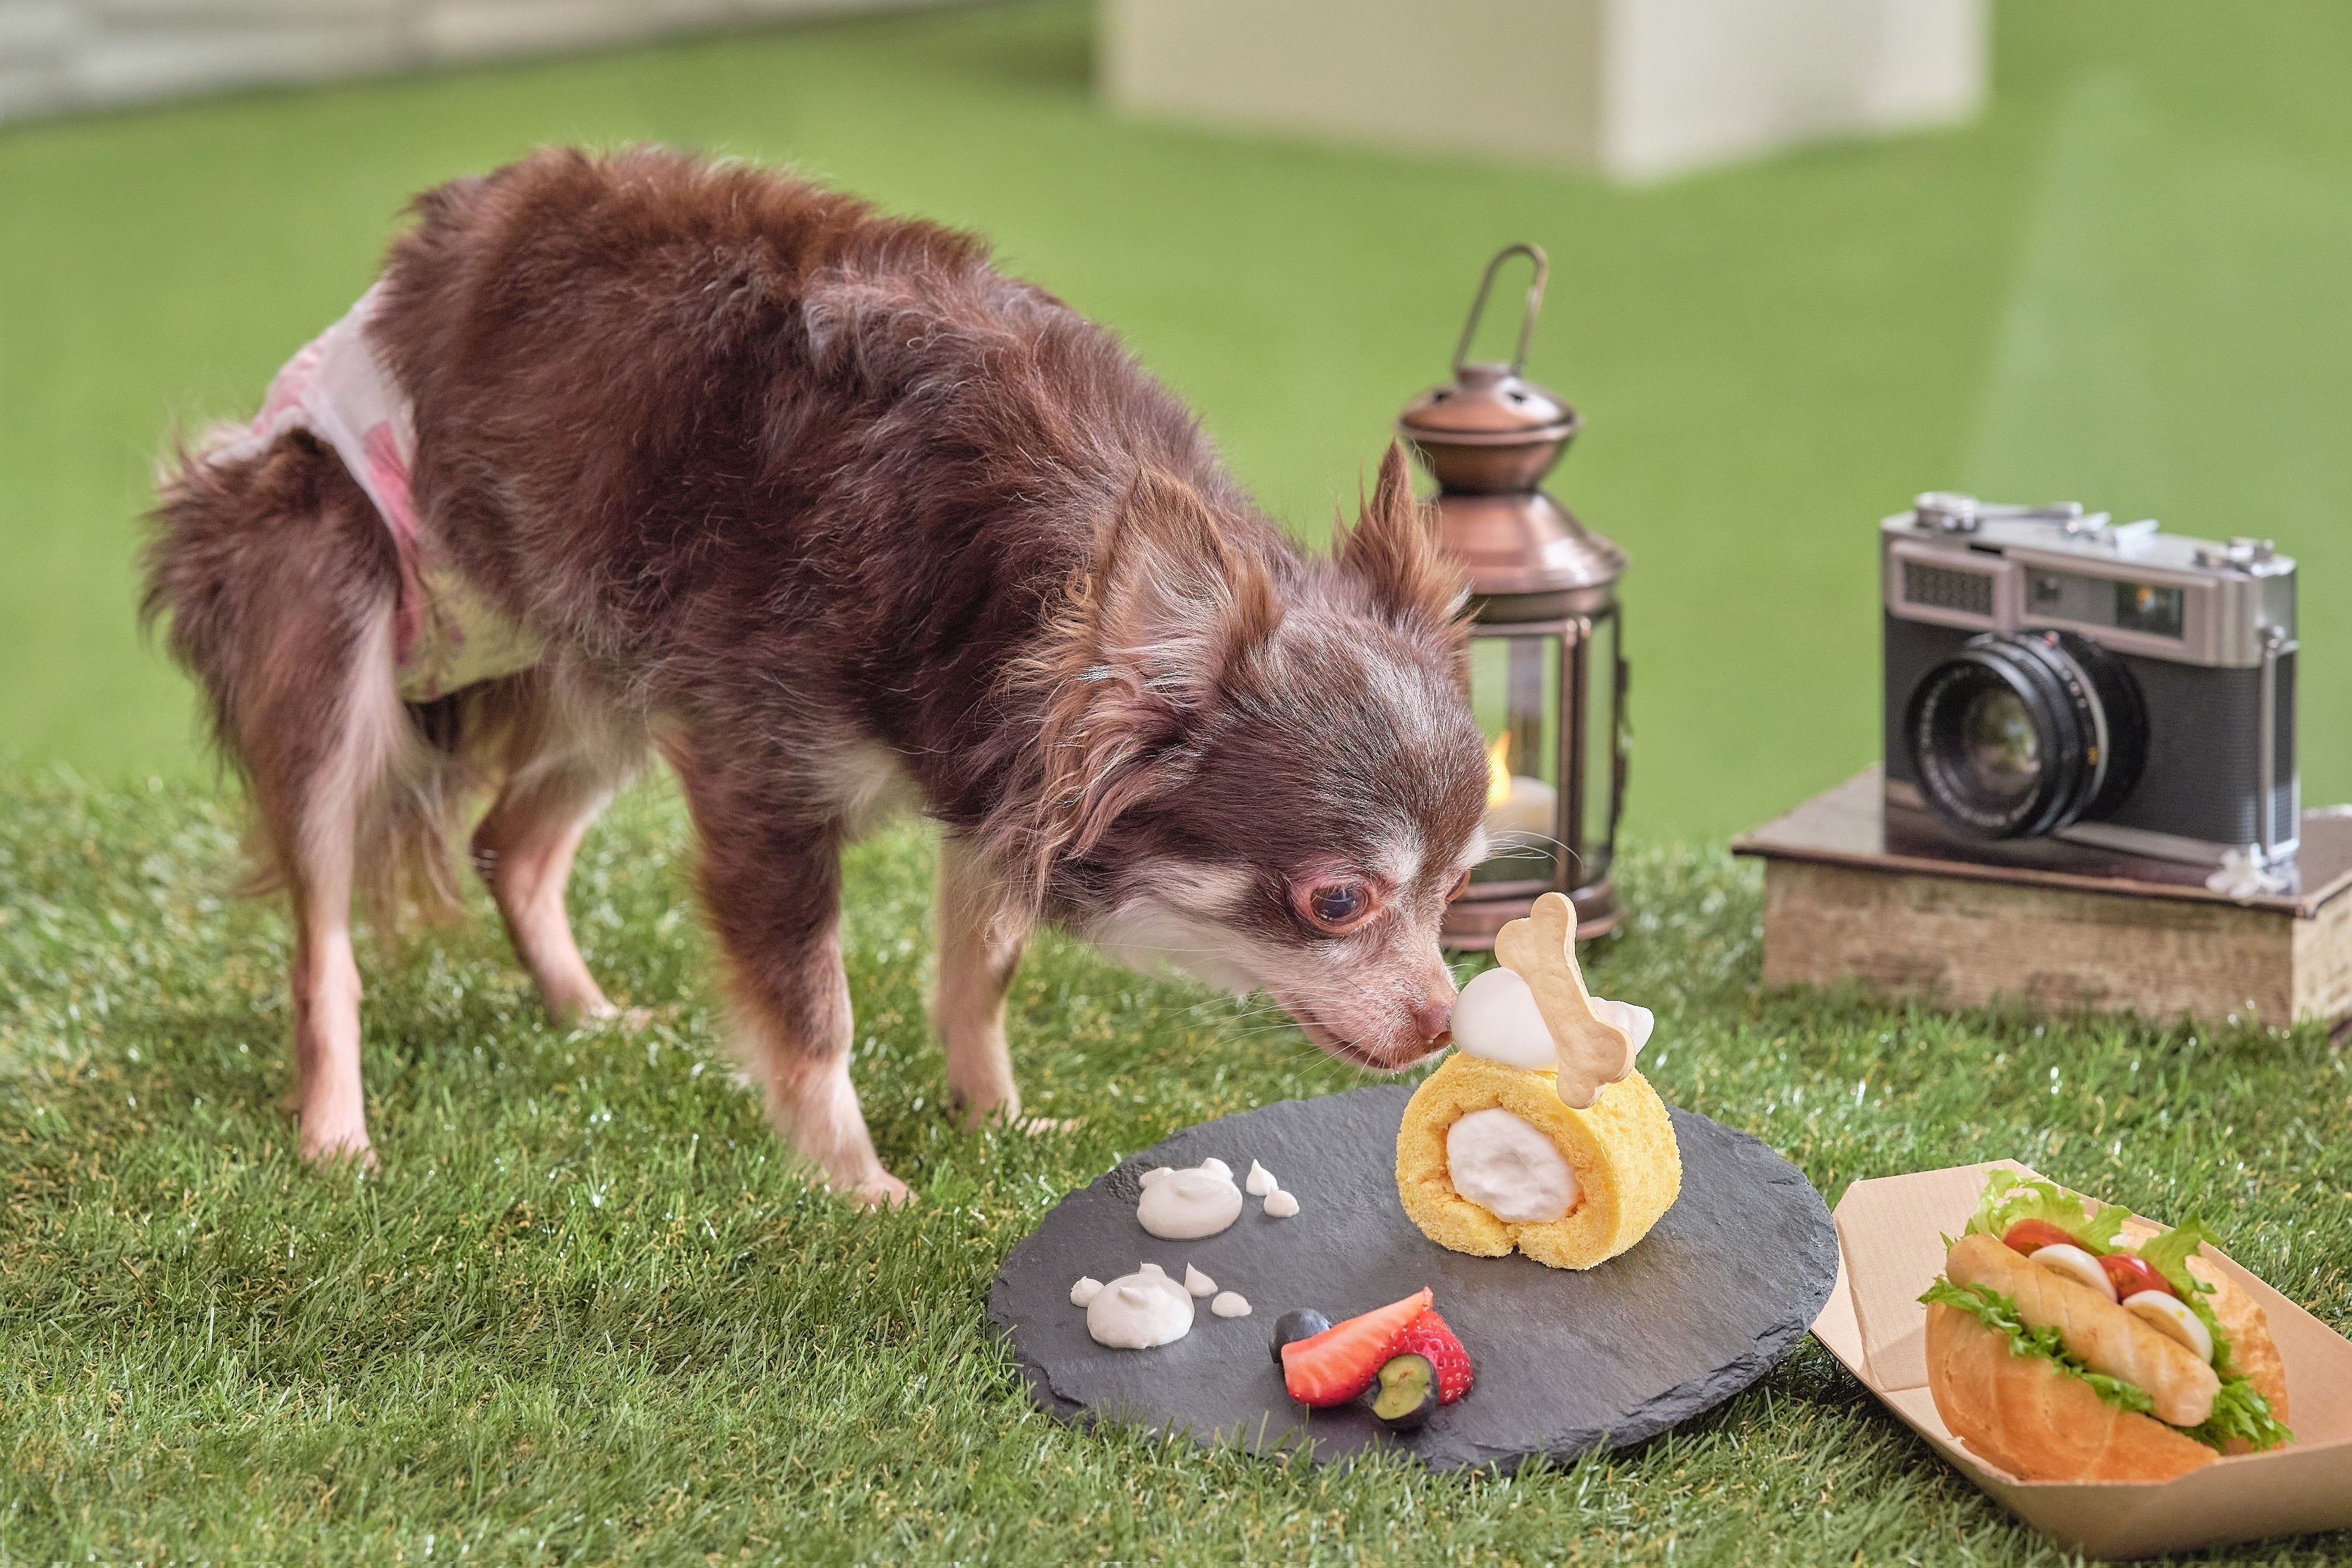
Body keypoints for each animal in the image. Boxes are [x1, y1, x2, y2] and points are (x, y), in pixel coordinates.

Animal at [142, 147, 1486, 1203]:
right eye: (1335, 902)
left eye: (1460, 890)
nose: (1441, 1021)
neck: (1040, 569)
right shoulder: (767, 778)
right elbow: (810, 1010)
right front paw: (855, 1184)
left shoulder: (992, 773)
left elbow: (979, 972)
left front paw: (993, 1119)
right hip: (339, 619)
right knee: (325, 934)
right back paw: (334, 1133)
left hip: (613, 672)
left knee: (508, 842)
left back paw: (587, 1018)